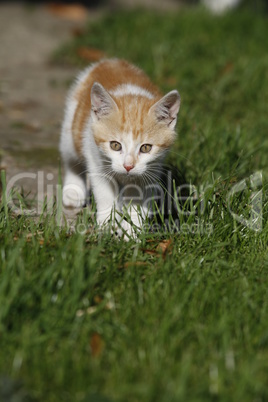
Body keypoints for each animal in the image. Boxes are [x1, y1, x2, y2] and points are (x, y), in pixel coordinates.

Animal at [60, 58, 181, 237]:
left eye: (146, 148)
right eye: (115, 145)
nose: (128, 166)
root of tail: (111, 61)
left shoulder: (151, 170)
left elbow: (138, 200)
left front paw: (131, 231)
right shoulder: (96, 160)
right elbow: (105, 194)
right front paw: (106, 225)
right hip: (71, 129)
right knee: (70, 158)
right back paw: (73, 190)